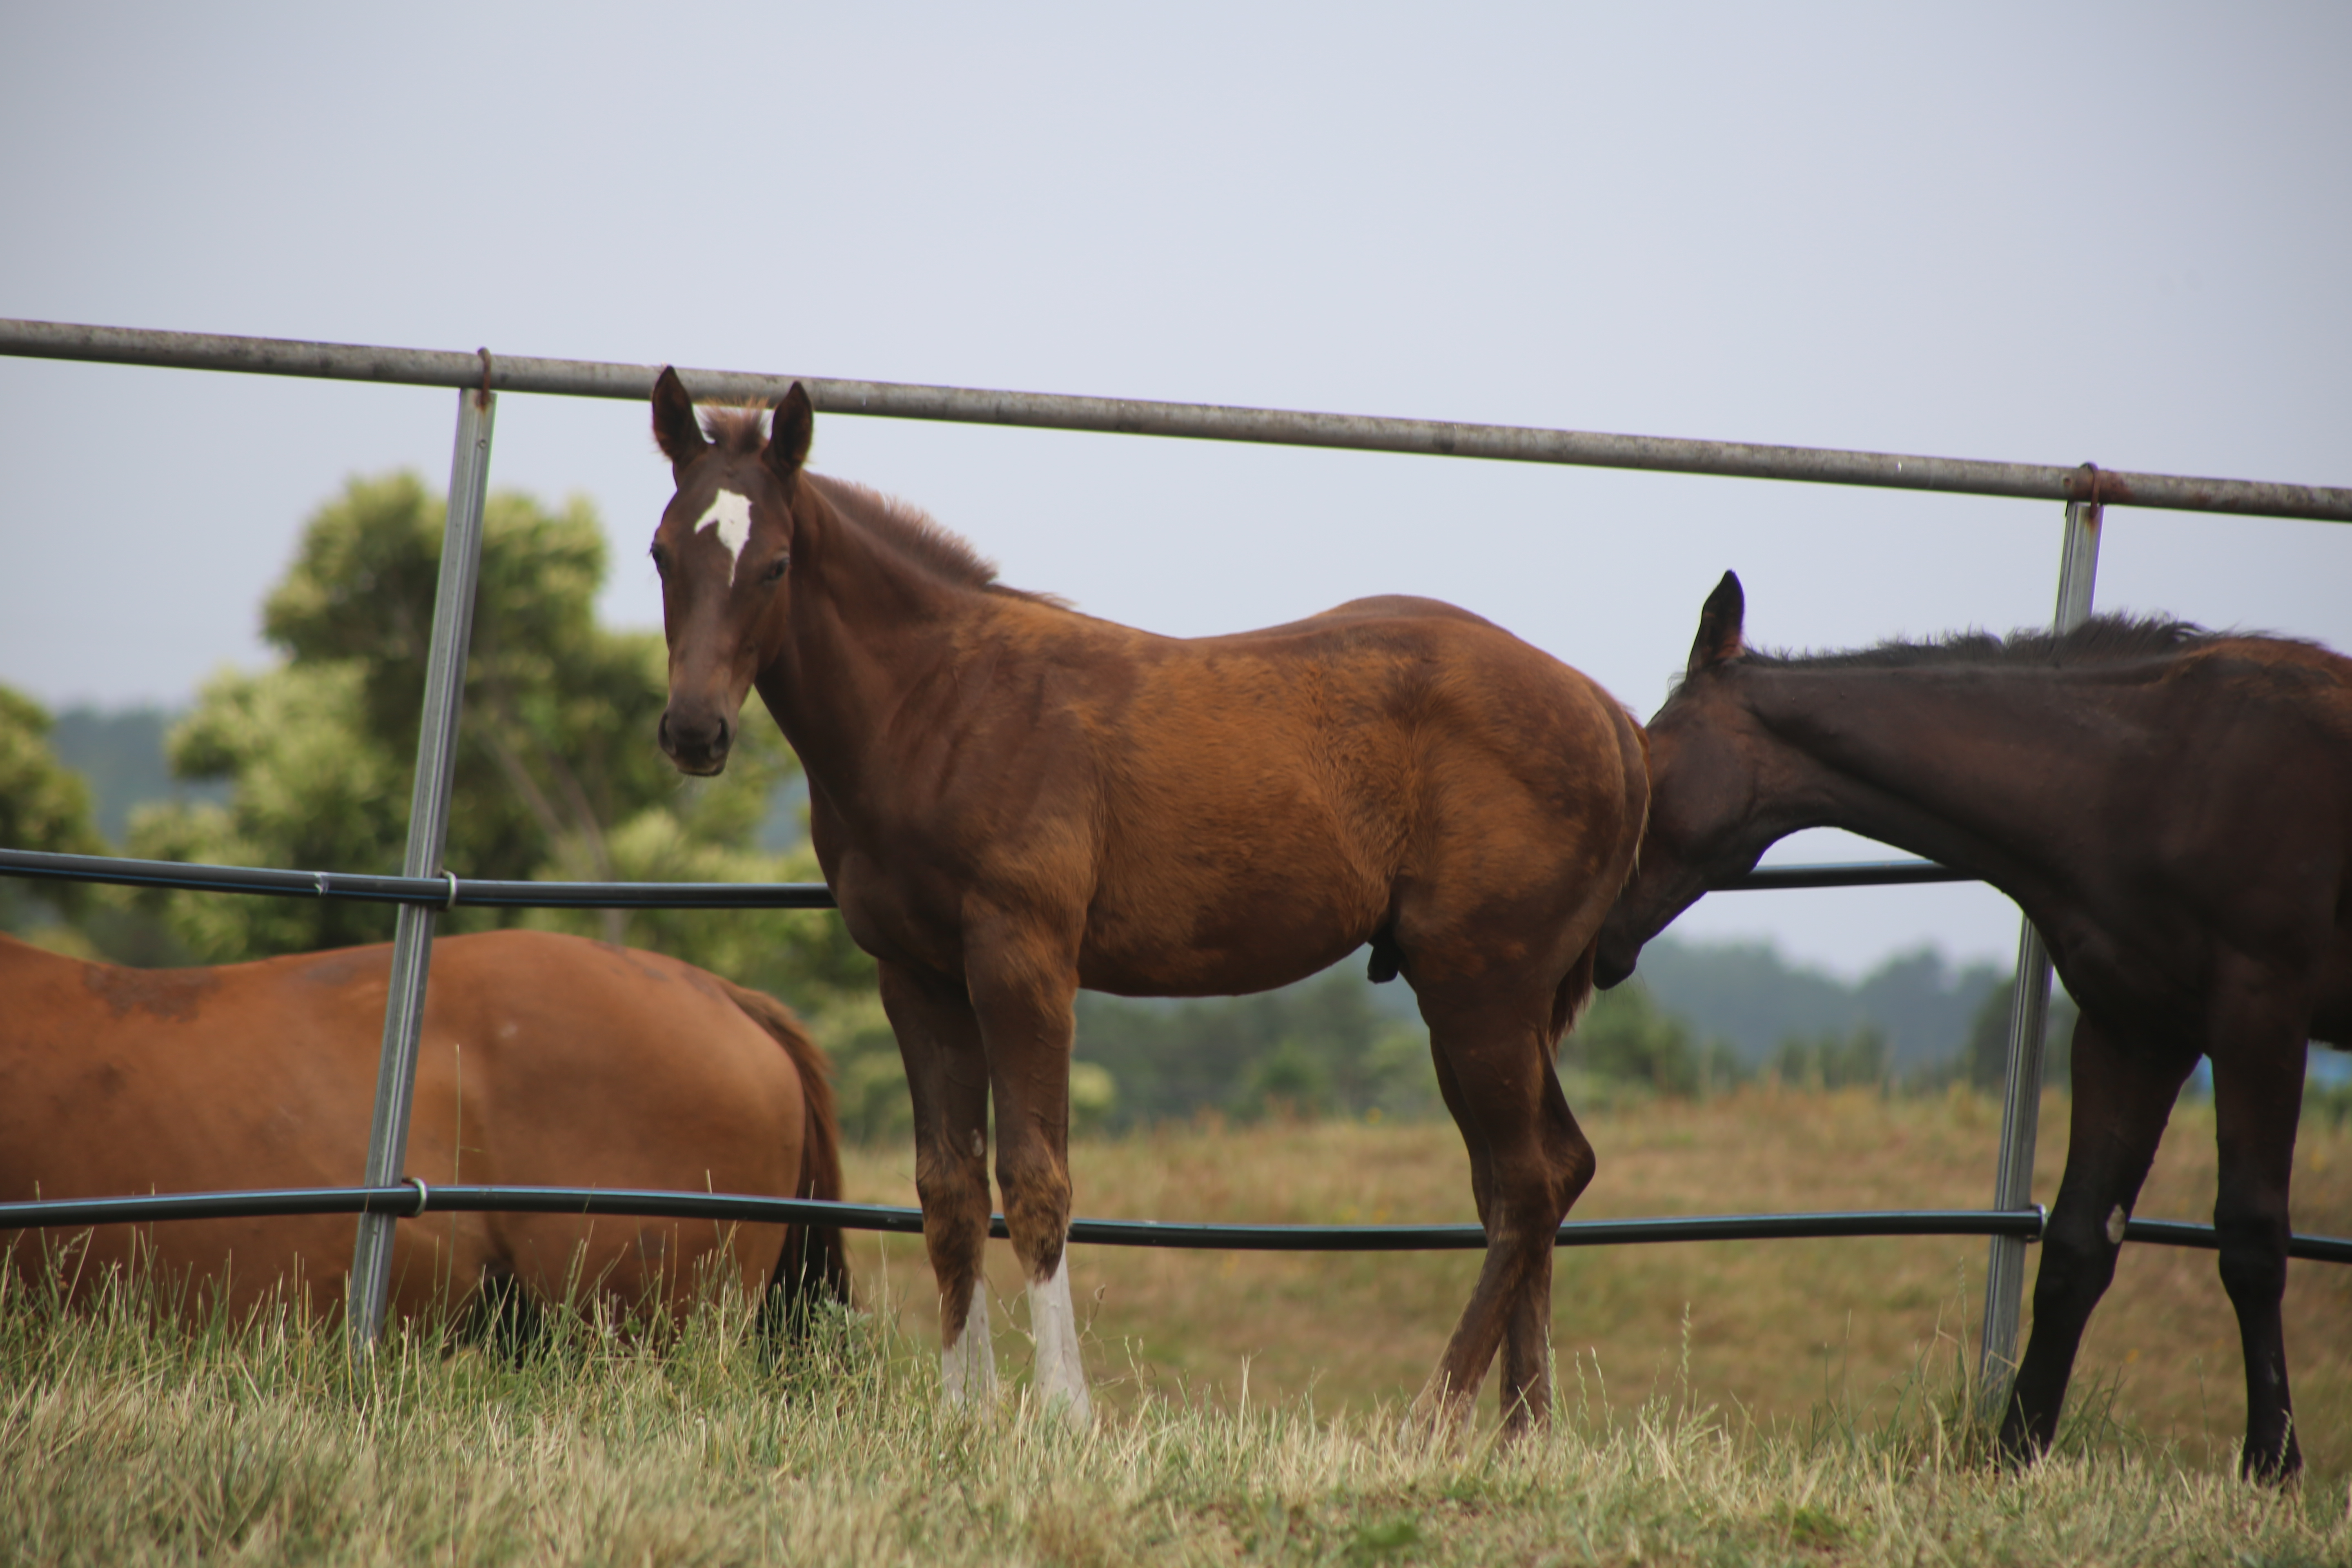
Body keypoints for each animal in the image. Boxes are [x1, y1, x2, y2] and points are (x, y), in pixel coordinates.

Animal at [635, 374, 1646, 1429]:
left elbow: (1035, 1177)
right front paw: (965, 1413)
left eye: (776, 563)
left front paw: (1065, 1413)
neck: (943, 704)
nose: (694, 731)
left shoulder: (1024, 960)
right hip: (1493, 1001)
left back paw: (1430, 1425)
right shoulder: (915, 975)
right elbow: (948, 1188)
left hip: (1476, 992)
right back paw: (1520, 1431)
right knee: (1541, 1173)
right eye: (661, 552)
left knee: (1526, 1184)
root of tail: (1607, 715)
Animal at [1599, 571, 2352, 1476]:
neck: (2146, 770)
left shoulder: (2258, 1010)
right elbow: (2078, 1243)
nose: (1593, 936)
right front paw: (2015, 1452)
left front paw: (2272, 1465)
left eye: (1646, 755)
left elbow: (2250, 1239)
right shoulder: (2134, 1030)